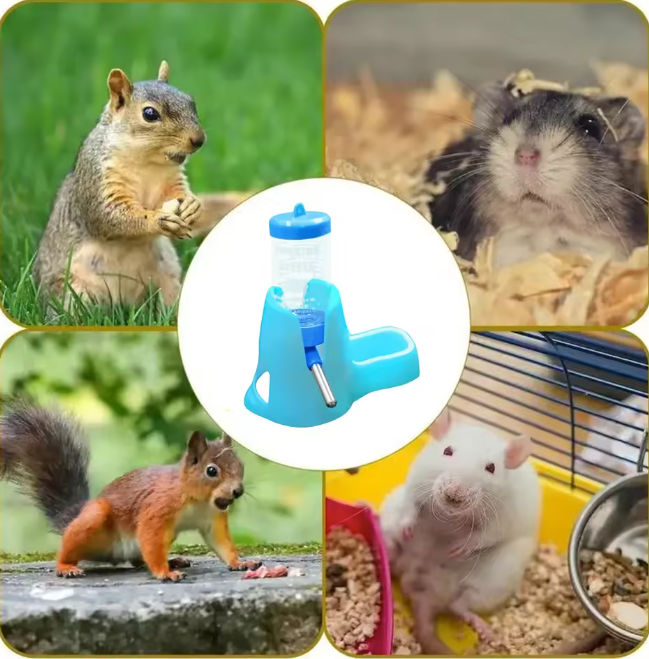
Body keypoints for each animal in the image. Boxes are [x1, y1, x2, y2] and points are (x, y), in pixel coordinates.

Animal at [380, 408, 540, 653]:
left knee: (460, 606)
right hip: (390, 522)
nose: (455, 493)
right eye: (447, 451)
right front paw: (408, 524)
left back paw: (480, 625)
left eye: (491, 468)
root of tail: (424, 594)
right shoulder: (415, 482)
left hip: (495, 579)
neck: (449, 515)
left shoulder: (503, 516)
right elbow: (411, 502)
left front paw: (461, 547)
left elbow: (488, 535)